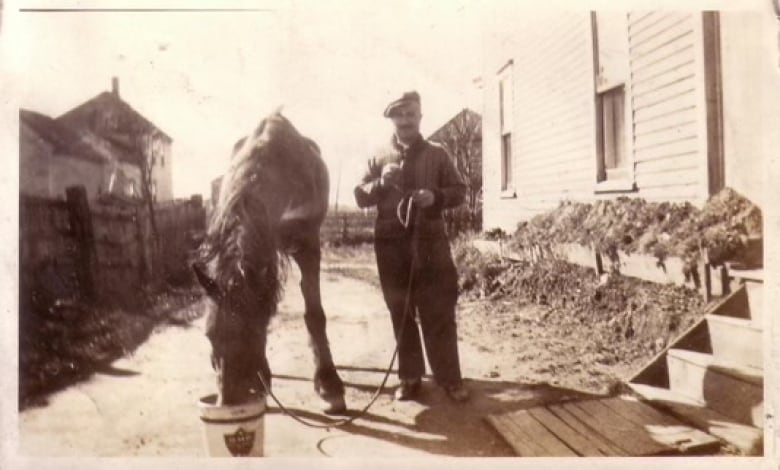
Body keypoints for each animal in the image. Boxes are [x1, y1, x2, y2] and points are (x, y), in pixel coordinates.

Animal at [191, 112, 344, 414]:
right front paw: (263, 377)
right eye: (209, 335)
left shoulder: (308, 245)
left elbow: (314, 313)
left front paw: (329, 383)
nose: (229, 402)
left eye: (250, 334)